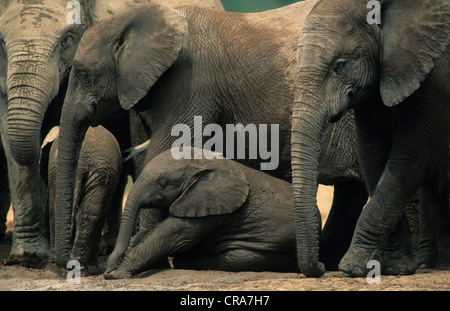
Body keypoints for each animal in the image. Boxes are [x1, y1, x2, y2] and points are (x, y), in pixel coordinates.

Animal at [105, 147, 302, 280]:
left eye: (162, 183)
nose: (108, 269)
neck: (201, 161)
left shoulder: (212, 204)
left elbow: (174, 235)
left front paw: (118, 274)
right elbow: (156, 231)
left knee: (235, 258)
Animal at [290, 0, 448, 278]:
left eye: (340, 65)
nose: (321, 267)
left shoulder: (433, 79)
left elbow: (410, 157)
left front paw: (351, 267)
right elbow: (372, 154)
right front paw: (396, 267)